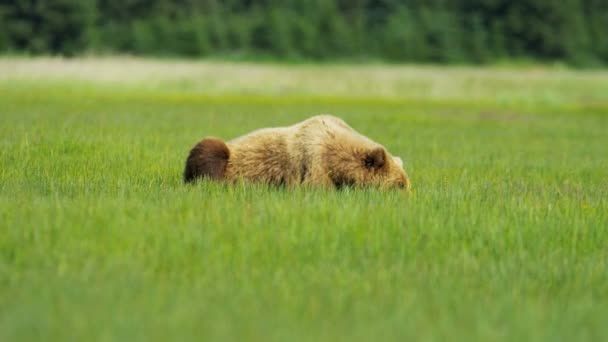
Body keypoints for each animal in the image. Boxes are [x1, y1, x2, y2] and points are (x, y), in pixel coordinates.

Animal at [183, 114, 410, 190]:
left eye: (406, 185)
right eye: (399, 185)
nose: (408, 197)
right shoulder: (314, 159)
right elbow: (315, 187)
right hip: (228, 154)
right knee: (209, 151)